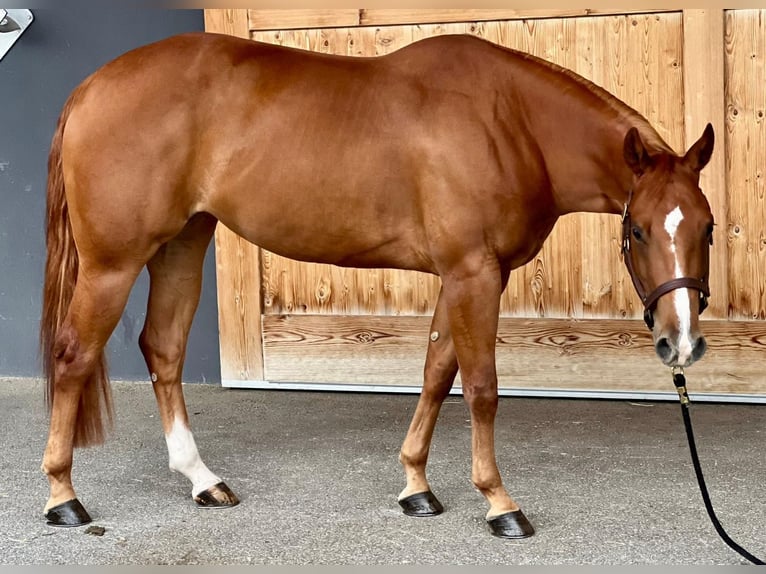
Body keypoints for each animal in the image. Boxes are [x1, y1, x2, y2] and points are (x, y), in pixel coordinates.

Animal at [40, 31, 715, 538]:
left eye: (707, 228)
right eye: (638, 231)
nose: (680, 342)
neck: (510, 120)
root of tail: (91, 87)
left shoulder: (465, 276)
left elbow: (437, 373)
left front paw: (416, 485)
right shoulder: (473, 272)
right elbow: (481, 388)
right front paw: (499, 502)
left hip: (184, 241)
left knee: (164, 349)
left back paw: (202, 479)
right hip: (112, 263)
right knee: (75, 355)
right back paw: (62, 497)